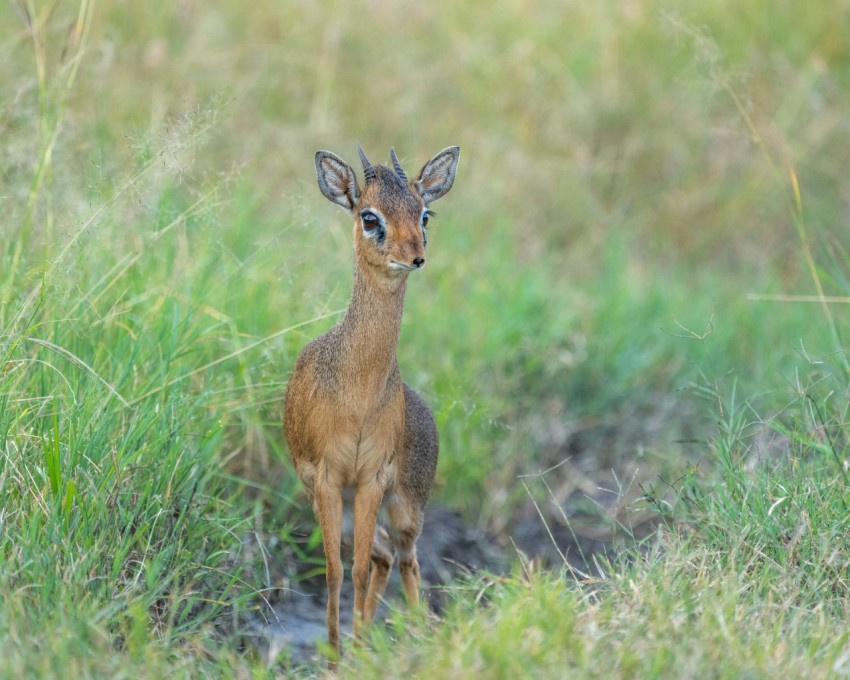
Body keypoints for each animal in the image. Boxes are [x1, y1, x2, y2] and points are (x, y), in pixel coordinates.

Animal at [284, 142, 458, 660]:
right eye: (369, 216)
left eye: (424, 212)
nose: (415, 256)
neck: (358, 391)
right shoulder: (327, 480)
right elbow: (337, 571)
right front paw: (335, 656)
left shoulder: (371, 478)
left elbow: (356, 570)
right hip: (340, 505)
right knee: (383, 558)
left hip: (404, 507)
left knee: (406, 559)